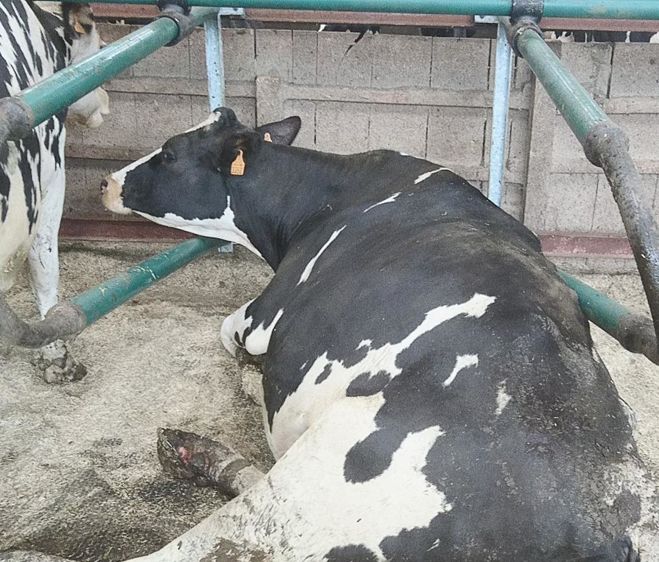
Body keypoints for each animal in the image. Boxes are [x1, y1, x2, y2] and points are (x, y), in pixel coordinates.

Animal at [96, 107, 656, 561]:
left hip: (313, 491)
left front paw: (247, 378)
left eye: (169, 152)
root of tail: (603, 530)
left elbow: (228, 333)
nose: (104, 182)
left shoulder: (263, 315)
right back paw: (200, 454)